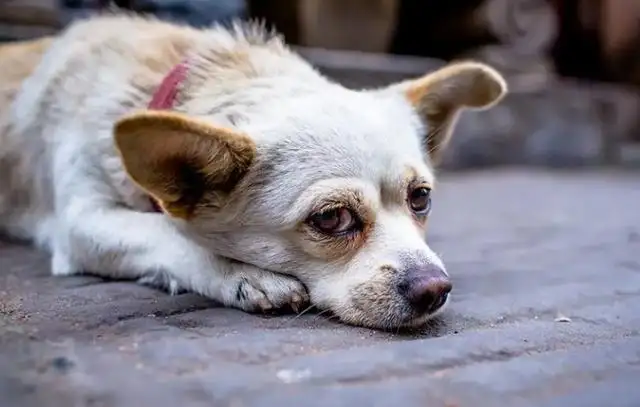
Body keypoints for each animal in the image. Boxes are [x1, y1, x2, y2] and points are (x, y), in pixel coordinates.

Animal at [1, 12, 504, 332]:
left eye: (421, 197)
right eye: (330, 218)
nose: (435, 288)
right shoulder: (82, 221)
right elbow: (165, 232)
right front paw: (247, 275)